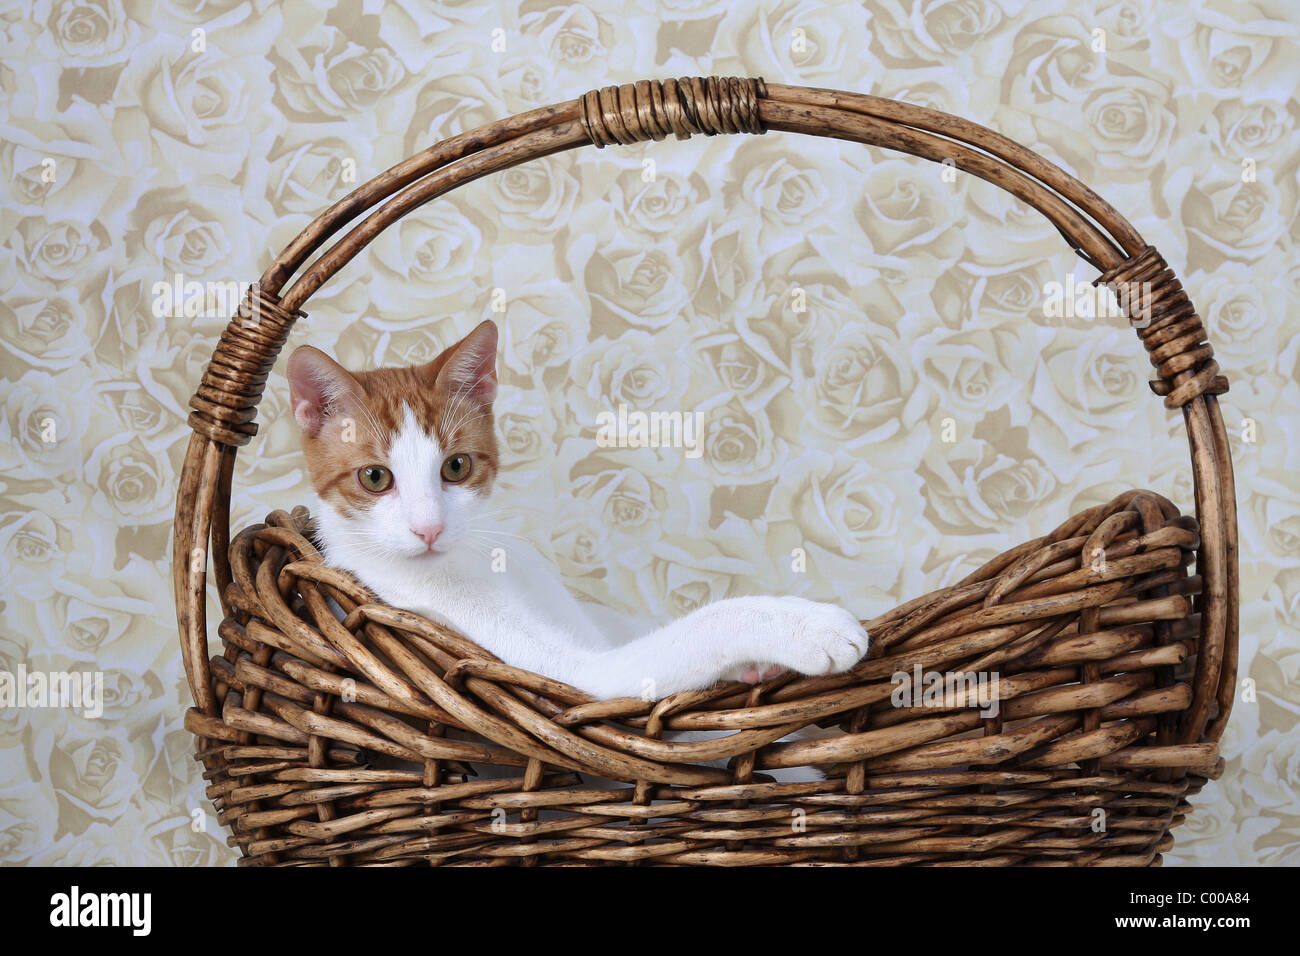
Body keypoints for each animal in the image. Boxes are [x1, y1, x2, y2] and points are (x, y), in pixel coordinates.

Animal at [288, 321, 868, 702]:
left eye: (456, 467)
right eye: (375, 478)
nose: (428, 528)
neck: (470, 563)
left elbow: (646, 625)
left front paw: (757, 665)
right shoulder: (570, 673)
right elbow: (702, 625)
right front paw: (806, 626)